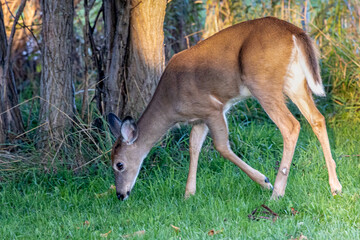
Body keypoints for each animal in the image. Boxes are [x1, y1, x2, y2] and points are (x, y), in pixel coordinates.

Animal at [107, 16, 344, 201]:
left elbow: (221, 146)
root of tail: (295, 32)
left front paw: (264, 181)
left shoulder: (213, 108)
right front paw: (188, 194)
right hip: (294, 81)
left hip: (262, 82)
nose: (120, 194)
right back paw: (335, 186)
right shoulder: (199, 118)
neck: (171, 104)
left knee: (291, 125)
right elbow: (194, 147)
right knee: (317, 118)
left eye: (119, 164)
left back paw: (277, 192)